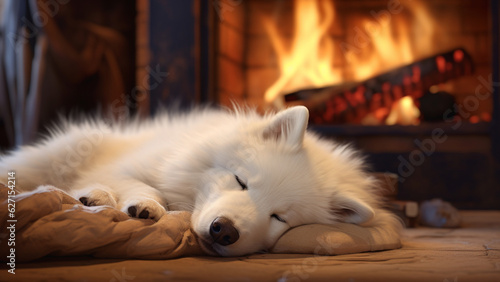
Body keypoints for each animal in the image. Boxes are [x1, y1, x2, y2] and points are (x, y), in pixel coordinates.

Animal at [0, 106, 398, 256]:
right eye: (240, 181)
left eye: (280, 218)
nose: (225, 231)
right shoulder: (130, 165)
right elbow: (143, 185)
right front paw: (144, 204)